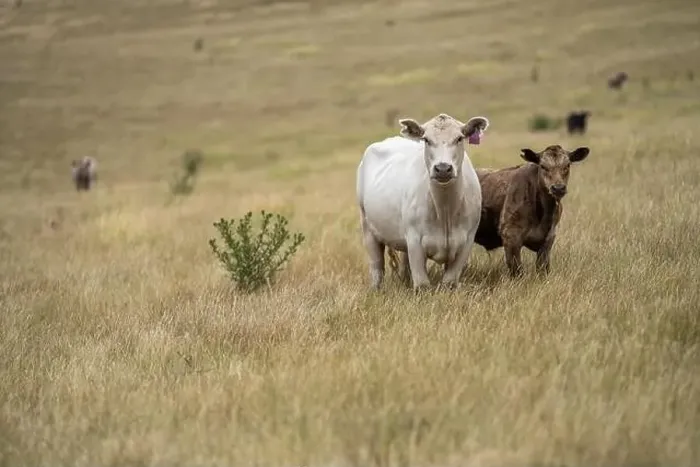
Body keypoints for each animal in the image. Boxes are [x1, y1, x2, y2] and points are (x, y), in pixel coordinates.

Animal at [356, 112, 489, 290]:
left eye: (459, 138)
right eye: (426, 139)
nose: (443, 168)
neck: (445, 210)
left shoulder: (466, 241)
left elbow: (449, 282)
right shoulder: (414, 241)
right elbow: (422, 284)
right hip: (368, 227)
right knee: (377, 266)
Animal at [473, 145, 590, 277]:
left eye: (567, 165)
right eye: (543, 166)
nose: (558, 188)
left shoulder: (548, 240)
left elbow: (543, 269)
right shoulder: (510, 236)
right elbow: (517, 271)